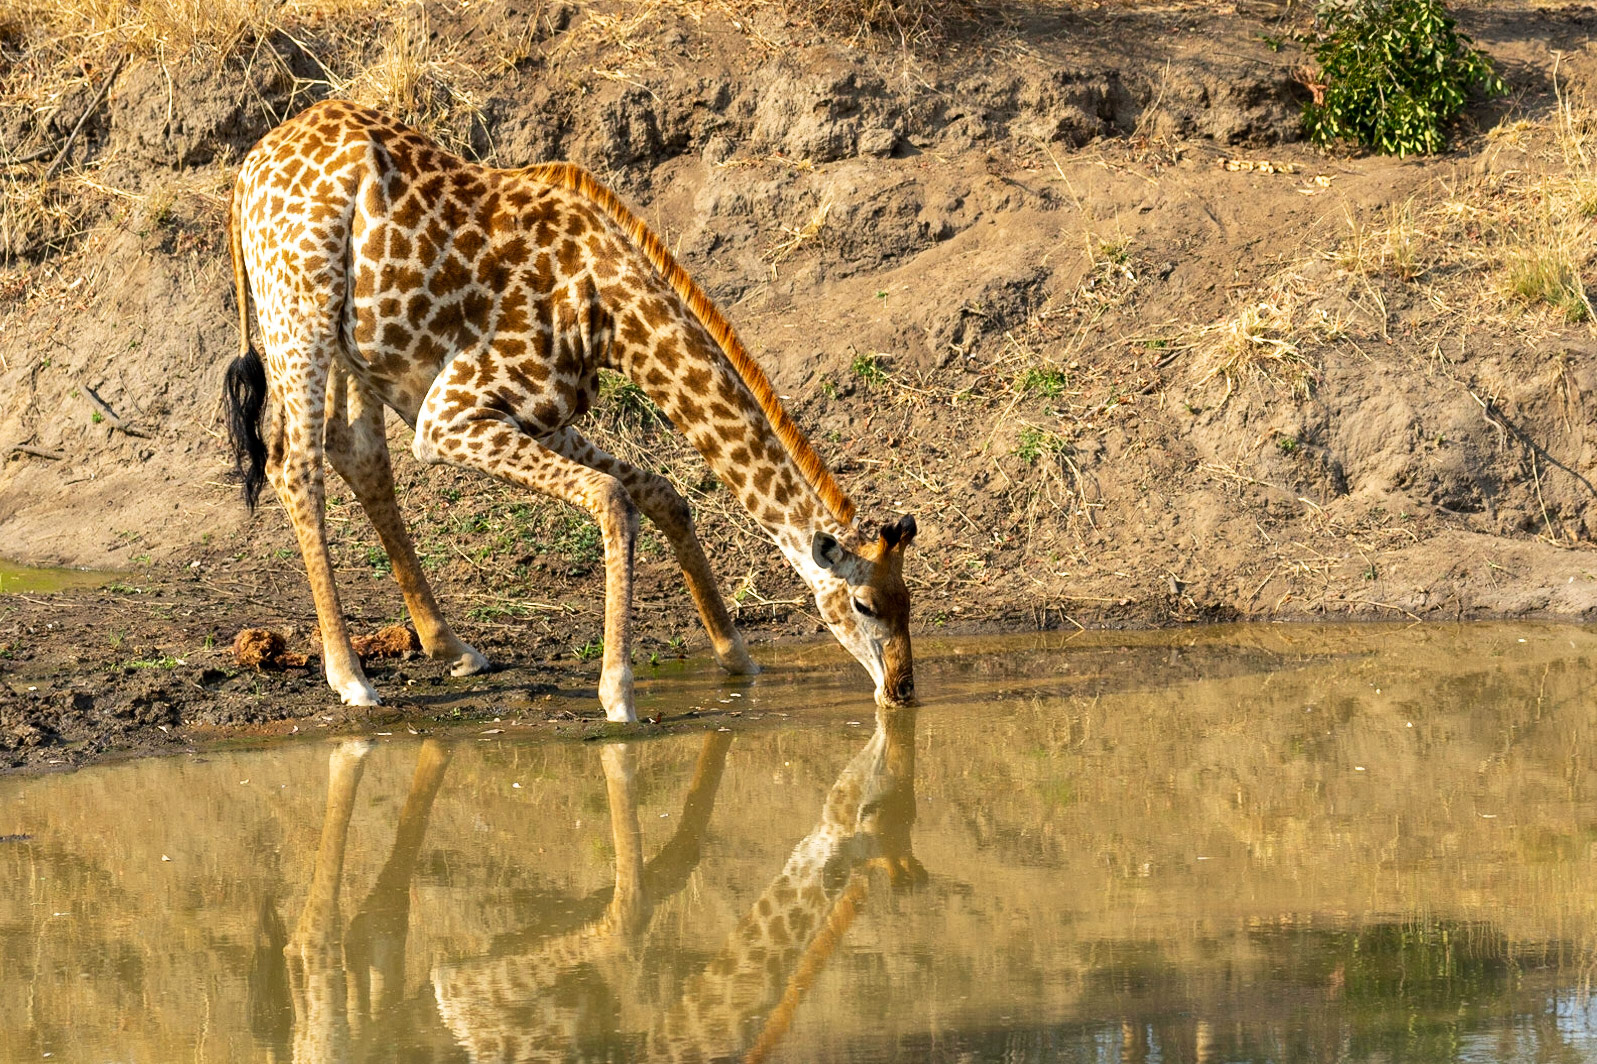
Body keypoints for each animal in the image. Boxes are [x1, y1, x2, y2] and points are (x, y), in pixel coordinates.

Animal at [223, 100, 918, 721]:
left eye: (908, 598)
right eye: (863, 604)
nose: (902, 690)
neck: (610, 313)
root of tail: (244, 176)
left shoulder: (542, 413)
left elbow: (662, 493)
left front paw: (738, 661)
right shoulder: (450, 415)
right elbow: (613, 497)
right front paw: (618, 697)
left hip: (353, 345)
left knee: (355, 452)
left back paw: (452, 646)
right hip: (298, 308)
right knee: (295, 466)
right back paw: (351, 678)